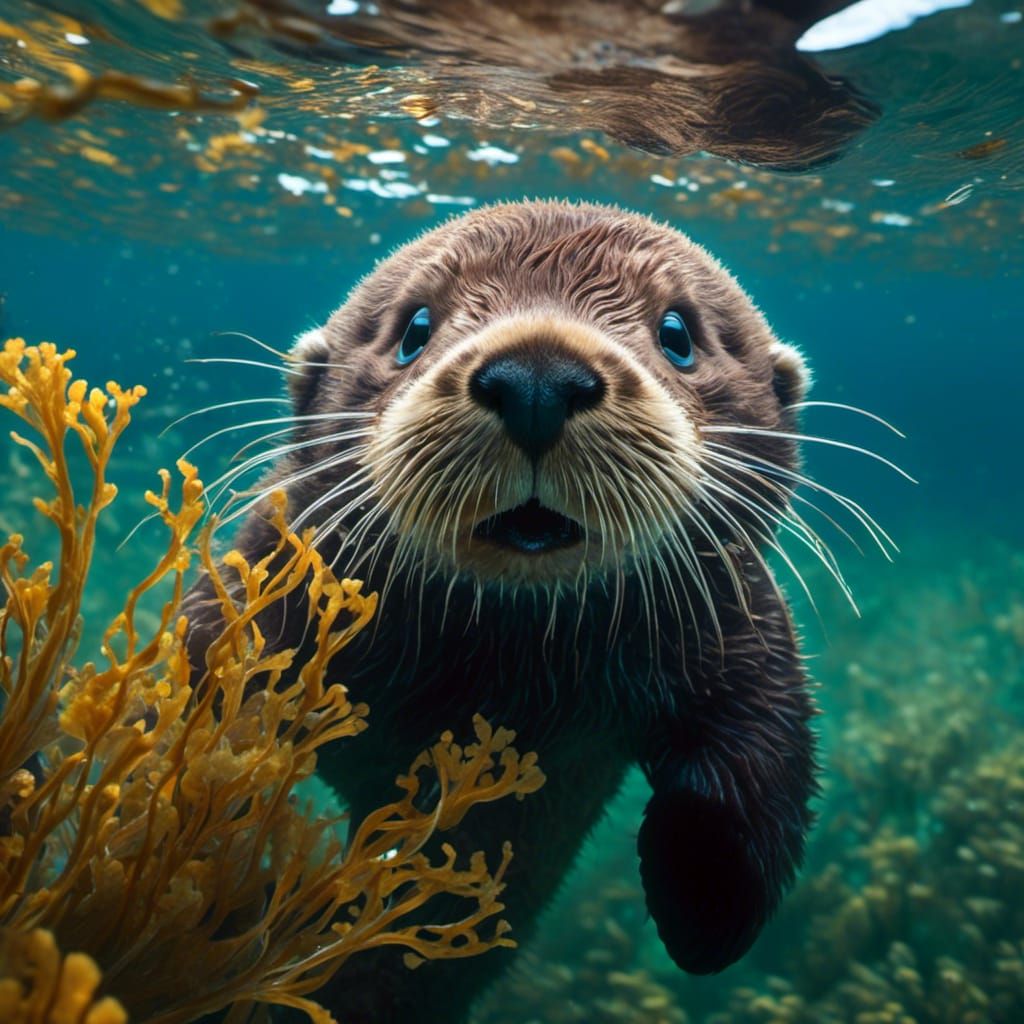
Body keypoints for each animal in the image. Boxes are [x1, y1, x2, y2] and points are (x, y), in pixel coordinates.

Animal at [184, 201, 817, 1023]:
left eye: (678, 334)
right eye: (415, 328)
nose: (537, 376)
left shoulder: (741, 623)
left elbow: (764, 755)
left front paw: (703, 898)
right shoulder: (267, 571)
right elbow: (203, 678)